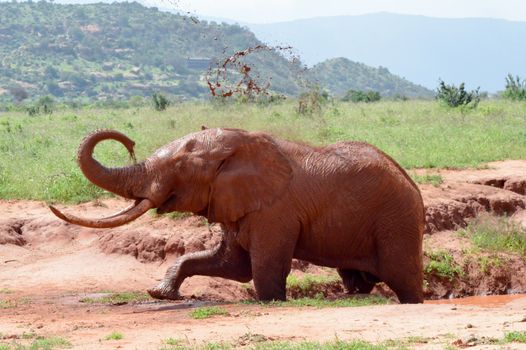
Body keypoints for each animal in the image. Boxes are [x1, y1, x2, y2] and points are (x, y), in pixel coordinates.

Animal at [50, 128, 424, 304]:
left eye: (180, 168)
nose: (128, 142)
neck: (240, 144)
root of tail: (412, 184)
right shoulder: (234, 202)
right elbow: (233, 265)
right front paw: (160, 293)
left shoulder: (275, 211)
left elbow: (264, 270)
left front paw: (271, 302)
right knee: (357, 280)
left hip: (397, 221)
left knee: (404, 280)